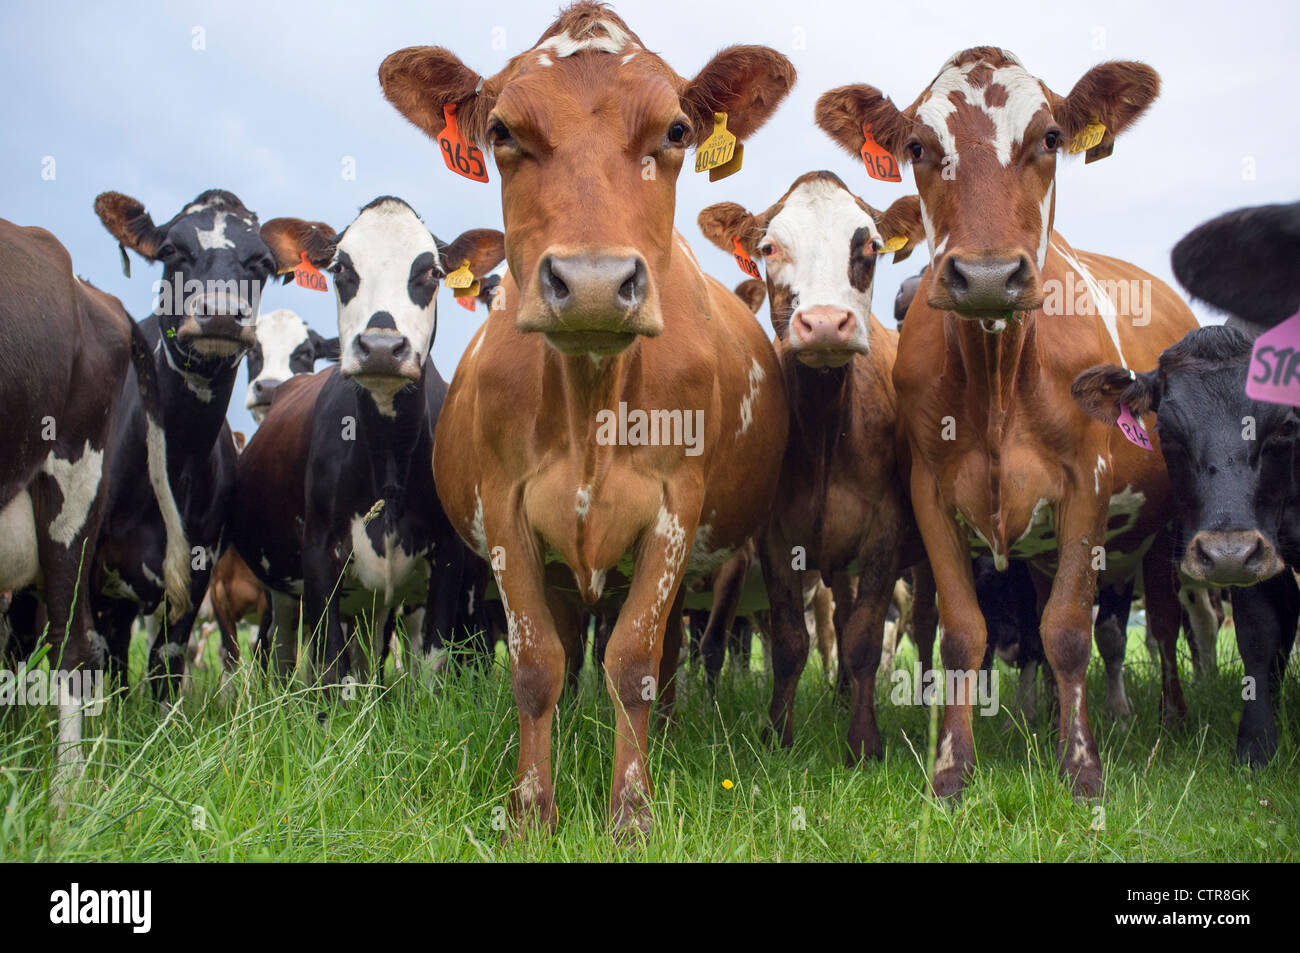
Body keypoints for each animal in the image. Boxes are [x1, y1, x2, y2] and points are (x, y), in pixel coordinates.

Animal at [229, 197, 505, 688]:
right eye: (340, 268)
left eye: (431, 272)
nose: (380, 346)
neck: (388, 451)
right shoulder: (319, 552)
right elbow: (334, 670)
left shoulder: (447, 560)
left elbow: (431, 664)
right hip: (281, 589)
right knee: (278, 652)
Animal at [378, 1, 794, 834]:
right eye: (502, 130)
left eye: (676, 130)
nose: (596, 283)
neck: (590, 400)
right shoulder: (505, 510)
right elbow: (537, 661)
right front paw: (530, 809)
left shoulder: (674, 510)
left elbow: (634, 661)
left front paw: (632, 811)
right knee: (570, 650)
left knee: (664, 657)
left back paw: (667, 732)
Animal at [697, 171, 926, 761]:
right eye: (769, 248)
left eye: (869, 246)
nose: (824, 324)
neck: (826, 429)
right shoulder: (775, 535)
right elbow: (788, 641)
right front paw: (777, 734)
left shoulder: (885, 530)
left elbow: (864, 637)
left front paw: (864, 741)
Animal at [816, 47, 1199, 798]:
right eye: (917, 146)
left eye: (1050, 138)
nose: (989, 276)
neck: (999, 378)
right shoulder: (931, 496)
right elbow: (966, 633)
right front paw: (951, 768)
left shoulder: (1088, 488)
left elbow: (1071, 632)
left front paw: (1081, 767)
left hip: (1162, 534)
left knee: (1164, 626)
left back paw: (1169, 715)